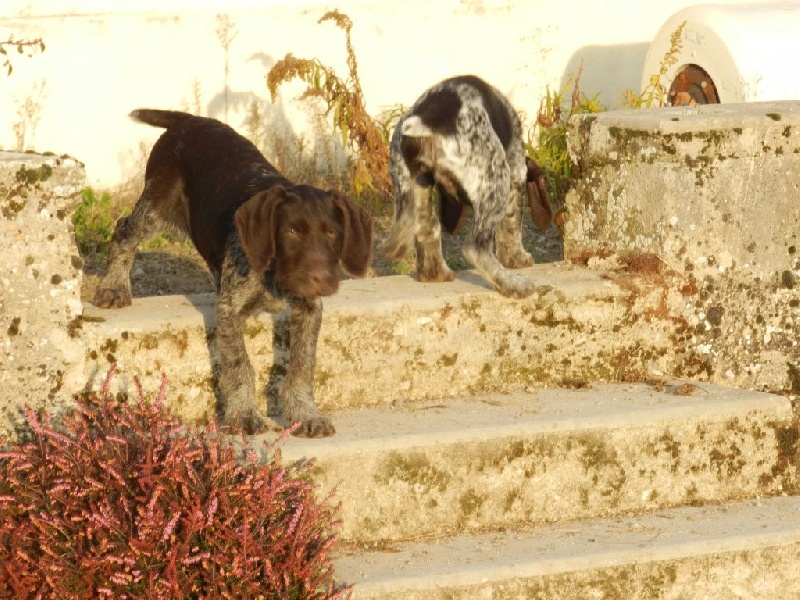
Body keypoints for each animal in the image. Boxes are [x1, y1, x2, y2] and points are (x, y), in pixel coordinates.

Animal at [94, 109, 372, 436]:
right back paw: (113, 287)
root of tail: (188, 120)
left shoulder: (309, 308)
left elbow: (303, 365)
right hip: (156, 210)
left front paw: (306, 413)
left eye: (331, 233)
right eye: (291, 231)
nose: (321, 280)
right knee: (123, 230)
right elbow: (239, 364)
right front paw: (243, 413)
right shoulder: (230, 308)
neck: (273, 276)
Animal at [382, 75, 552, 300]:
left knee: (428, 231)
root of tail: (430, 118)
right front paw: (517, 259)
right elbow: (512, 225)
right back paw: (513, 285)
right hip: (496, 178)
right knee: (475, 246)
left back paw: (436, 275)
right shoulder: (516, 171)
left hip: (412, 185)